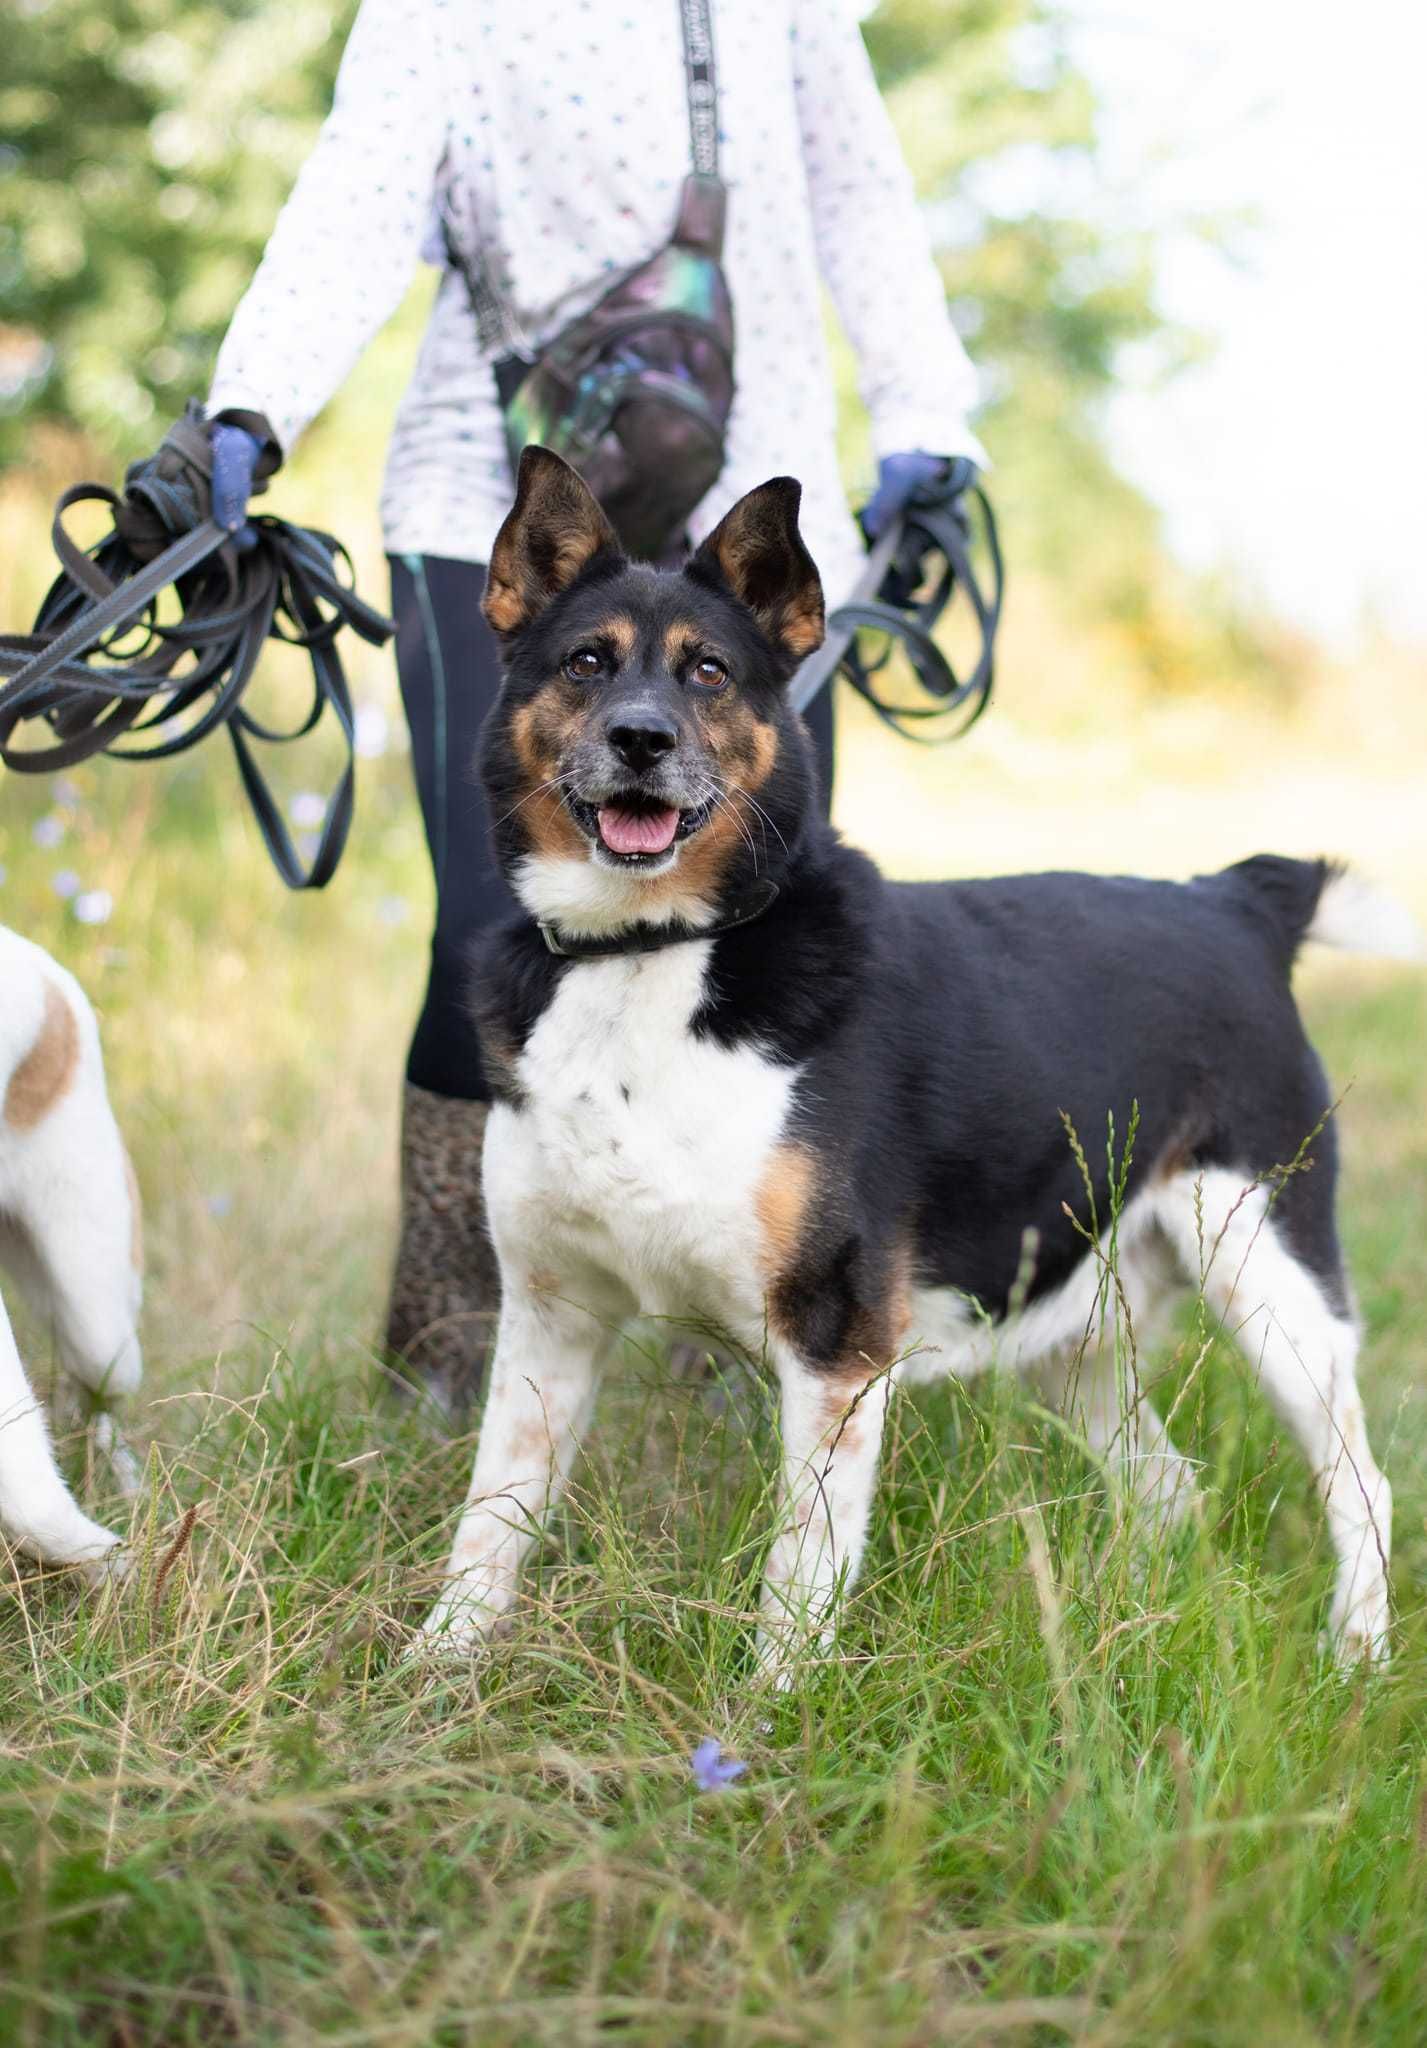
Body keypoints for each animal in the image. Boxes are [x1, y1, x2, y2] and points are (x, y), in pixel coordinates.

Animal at [415, 444, 1416, 1662]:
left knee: (1358, 1482)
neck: (653, 949)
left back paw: (1355, 1653)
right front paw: (432, 1676)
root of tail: (1236, 901)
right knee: (1167, 1486)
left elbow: (796, 1581)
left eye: (707, 671)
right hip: (1074, 1334)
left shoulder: (835, 1344)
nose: (640, 739)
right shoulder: (550, 1323)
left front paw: (770, 1706)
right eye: (585, 662)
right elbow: (487, 1528)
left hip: (1268, 1274)